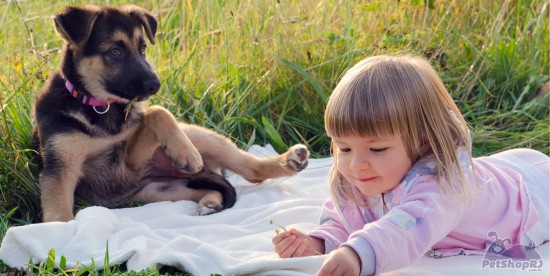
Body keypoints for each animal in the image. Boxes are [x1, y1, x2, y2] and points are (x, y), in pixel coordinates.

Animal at [33, 4, 310, 222]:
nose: (155, 85)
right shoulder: (61, 170)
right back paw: (211, 202)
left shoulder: (130, 161)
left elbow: (156, 111)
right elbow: (59, 216)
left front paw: (185, 152)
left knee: (251, 170)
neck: (100, 107)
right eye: (115, 51)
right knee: (214, 186)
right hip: (160, 189)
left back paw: (287, 160)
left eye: (143, 48)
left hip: (198, 139)